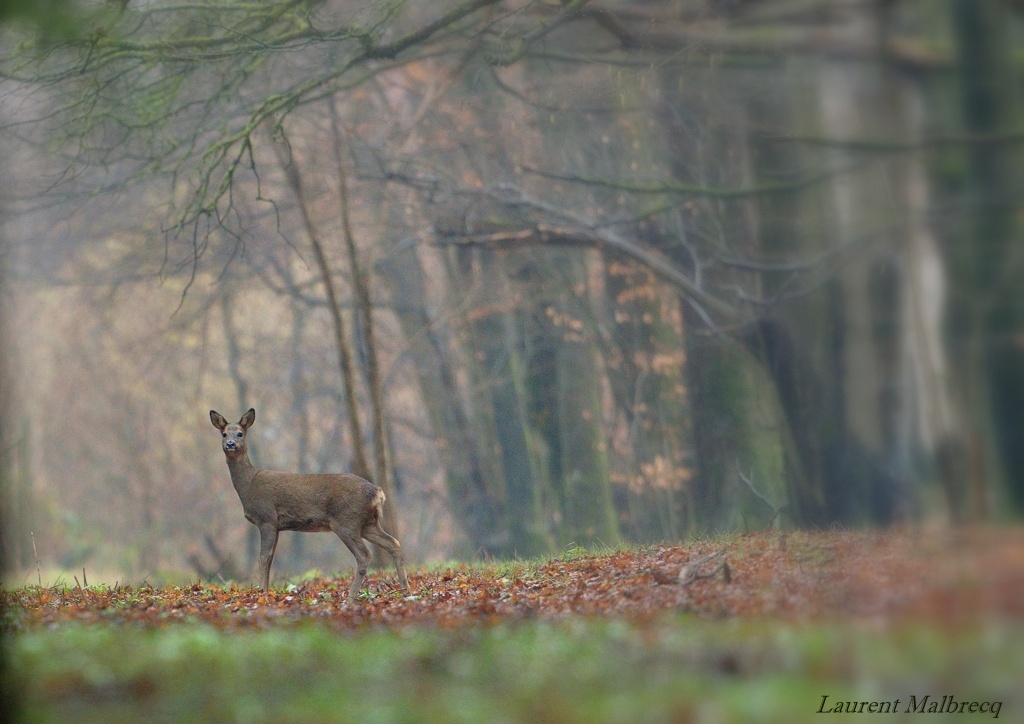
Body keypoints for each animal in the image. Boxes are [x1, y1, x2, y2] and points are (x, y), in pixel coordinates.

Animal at [209, 407, 409, 602]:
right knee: (393, 542)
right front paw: (265, 591)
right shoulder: (276, 525)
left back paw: (351, 597)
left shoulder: (266, 518)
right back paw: (405, 590)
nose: (230, 444)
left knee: (364, 555)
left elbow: (263, 557)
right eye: (224, 434)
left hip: (346, 521)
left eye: (240, 433)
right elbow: (271, 558)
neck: (248, 485)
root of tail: (378, 493)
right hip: (367, 523)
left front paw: (262, 593)